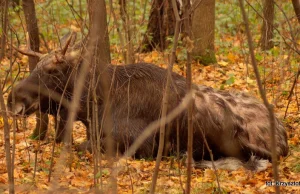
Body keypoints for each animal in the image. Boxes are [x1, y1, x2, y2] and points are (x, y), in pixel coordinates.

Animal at [7, 33, 288, 171]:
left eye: (52, 71)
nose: (12, 99)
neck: (93, 105)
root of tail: (284, 133)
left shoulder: (140, 145)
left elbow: (83, 146)